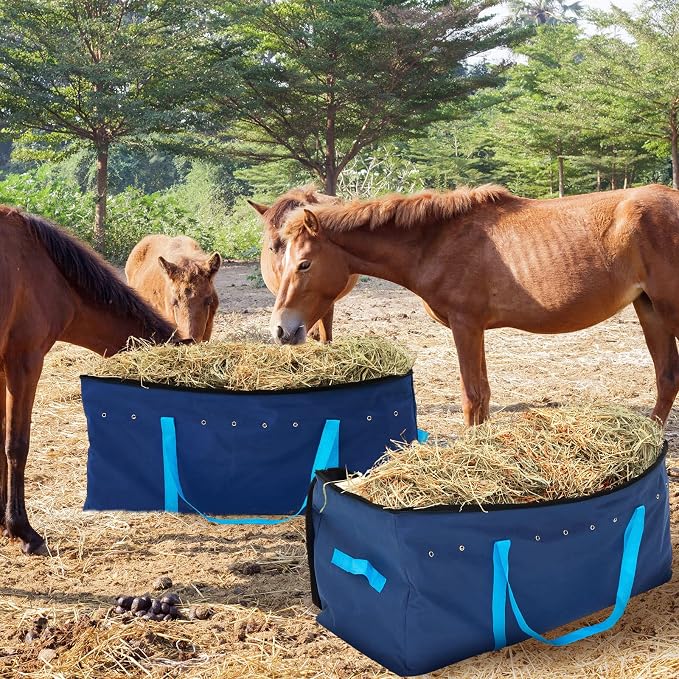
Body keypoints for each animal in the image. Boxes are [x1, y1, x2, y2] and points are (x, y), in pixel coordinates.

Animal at [270, 183, 679, 427]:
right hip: (650, 310)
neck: (435, 241)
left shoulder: (465, 325)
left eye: (304, 264)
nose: (281, 329)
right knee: (667, 379)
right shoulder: (476, 329)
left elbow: (472, 396)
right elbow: (482, 396)